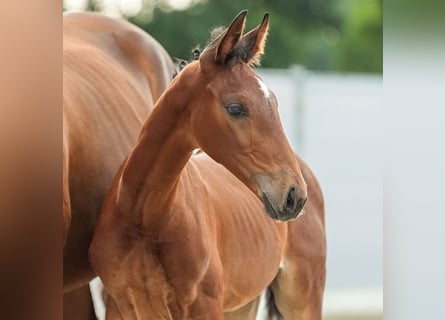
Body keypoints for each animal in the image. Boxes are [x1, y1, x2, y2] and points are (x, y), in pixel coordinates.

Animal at [89, 10, 326, 320]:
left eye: (273, 103)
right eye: (236, 109)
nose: (294, 195)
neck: (145, 215)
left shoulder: (204, 306)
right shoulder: (119, 306)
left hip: (302, 296)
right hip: (243, 304)